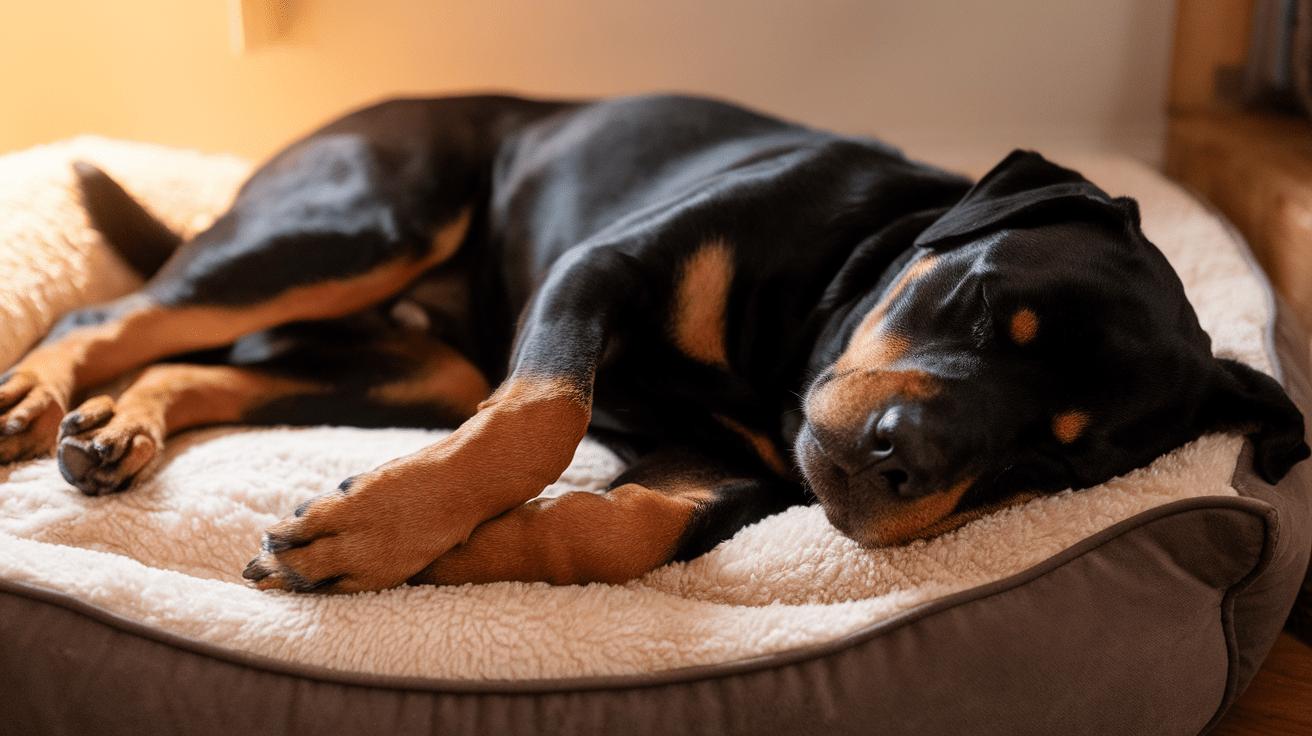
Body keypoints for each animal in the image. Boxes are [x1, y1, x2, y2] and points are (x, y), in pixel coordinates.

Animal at [0, 96, 1306, 590]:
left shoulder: (733, 469)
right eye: (985, 305)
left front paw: (425, 549)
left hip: (411, 373)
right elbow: (546, 415)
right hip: (358, 221)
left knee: (197, 365)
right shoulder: (600, 267)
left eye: (1053, 459)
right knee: (112, 314)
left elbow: (622, 527)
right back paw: (42, 396)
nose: (904, 463)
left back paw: (117, 427)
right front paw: (377, 530)